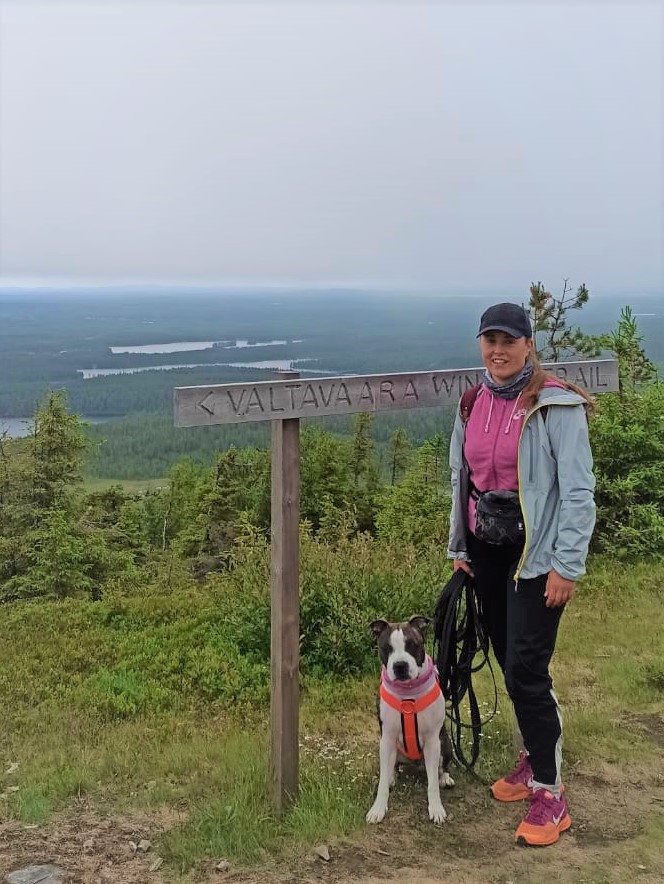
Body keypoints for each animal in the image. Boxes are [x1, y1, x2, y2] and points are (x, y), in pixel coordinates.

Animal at [366, 616, 454, 820]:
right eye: (386, 647)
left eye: (412, 645)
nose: (400, 666)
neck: (408, 694)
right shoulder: (387, 738)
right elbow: (382, 782)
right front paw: (378, 808)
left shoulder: (432, 741)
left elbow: (432, 785)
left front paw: (436, 809)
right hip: (391, 749)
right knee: (392, 767)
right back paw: (392, 777)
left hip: (445, 743)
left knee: (441, 767)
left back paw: (445, 777)